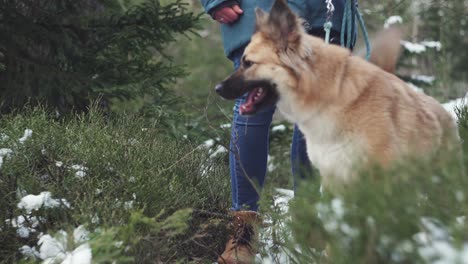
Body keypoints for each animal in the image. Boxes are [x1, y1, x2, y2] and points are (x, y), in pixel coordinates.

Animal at [217, 0, 460, 188]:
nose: (217, 89)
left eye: (248, 63)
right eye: (242, 61)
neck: (331, 97)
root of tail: (446, 114)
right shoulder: (333, 176)